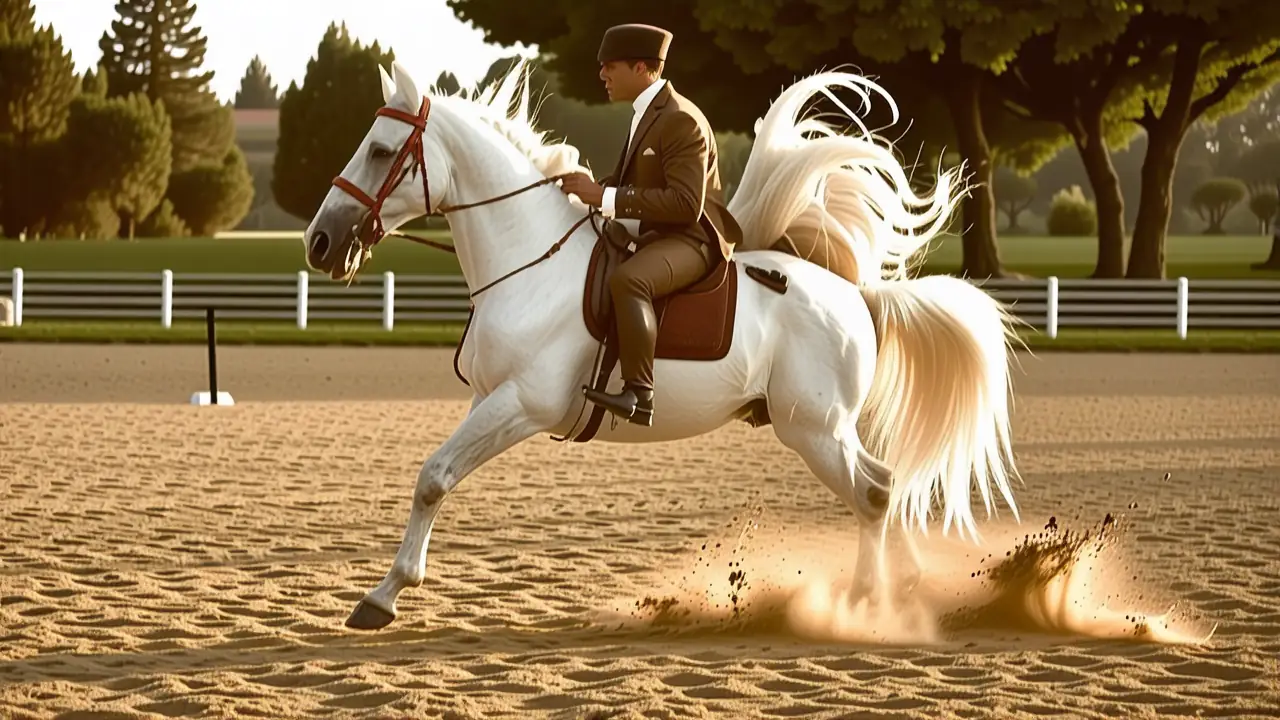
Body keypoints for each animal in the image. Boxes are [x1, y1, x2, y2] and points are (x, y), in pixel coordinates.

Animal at [302, 59, 1023, 631]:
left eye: (380, 150)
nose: (320, 243)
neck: (529, 260)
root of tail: (857, 296)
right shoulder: (488, 398)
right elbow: (435, 476)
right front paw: (386, 592)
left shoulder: (523, 404)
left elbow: (434, 478)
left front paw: (382, 597)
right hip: (819, 429)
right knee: (888, 486)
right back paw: (907, 587)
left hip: (814, 429)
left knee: (873, 494)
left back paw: (863, 603)